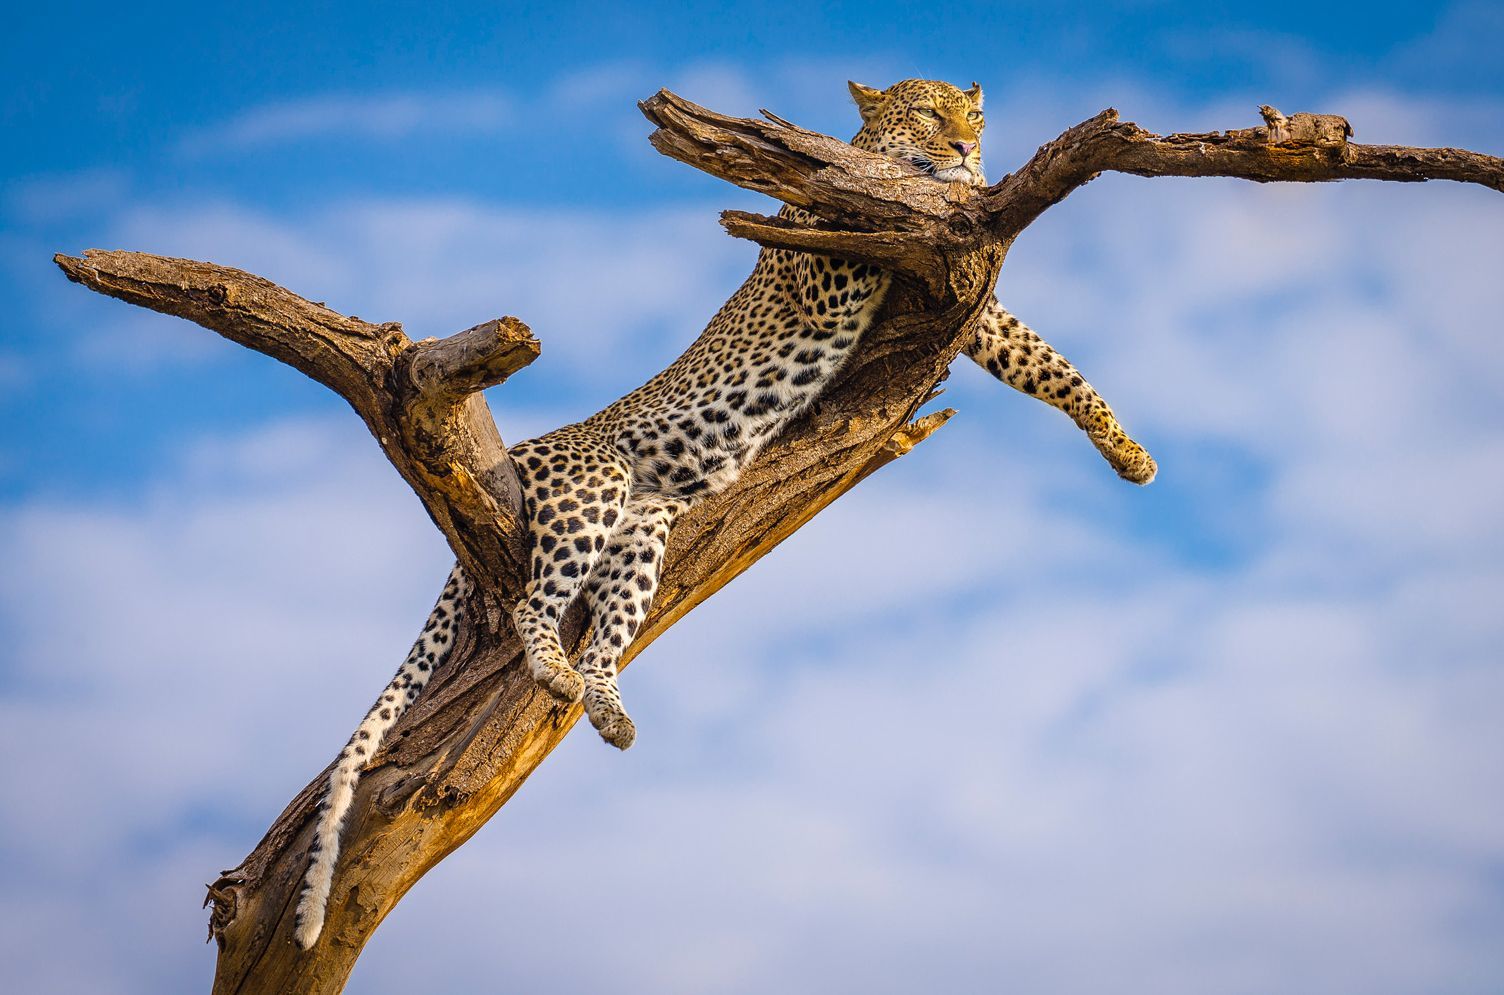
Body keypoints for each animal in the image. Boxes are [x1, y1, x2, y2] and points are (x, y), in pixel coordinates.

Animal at [296, 78, 1161, 949]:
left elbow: (1051, 365)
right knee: (532, 603)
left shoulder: (970, 304)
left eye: (974, 115)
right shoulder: (836, 276)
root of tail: (525, 450)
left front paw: (1128, 452)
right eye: (927, 114)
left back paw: (608, 708)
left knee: (606, 633)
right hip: (593, 487)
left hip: (641, 534)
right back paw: (553, 666)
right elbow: (865, 224)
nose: (966, 150)